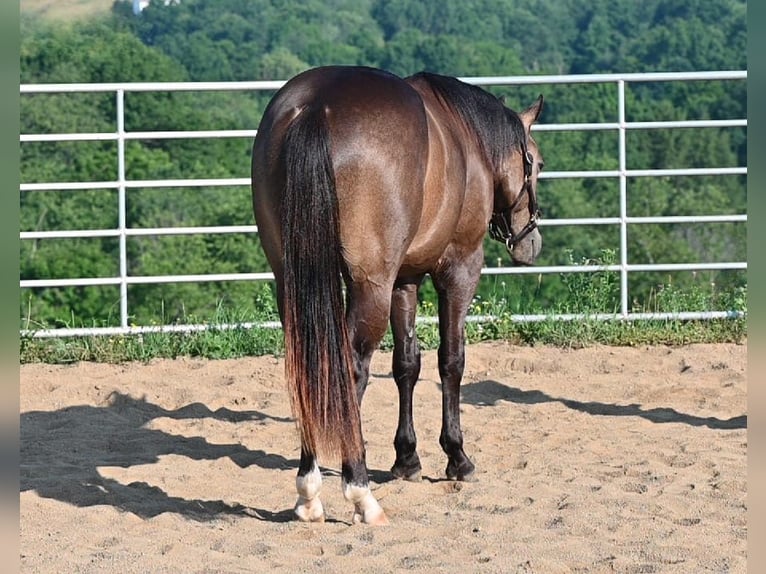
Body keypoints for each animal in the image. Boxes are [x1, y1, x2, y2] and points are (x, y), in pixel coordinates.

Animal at [251, 65, 544, 525]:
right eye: (538, 164)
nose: (531, 242)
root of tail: (317, 105)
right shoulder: (459, 268)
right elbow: (451, 360)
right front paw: (457, 457)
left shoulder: (404, 279)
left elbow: (407, 363)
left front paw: (407, 458)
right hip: (370, 284)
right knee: (350, 371)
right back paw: (359, 492)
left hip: (292, 279)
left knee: (309, 368)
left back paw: (308, 492)